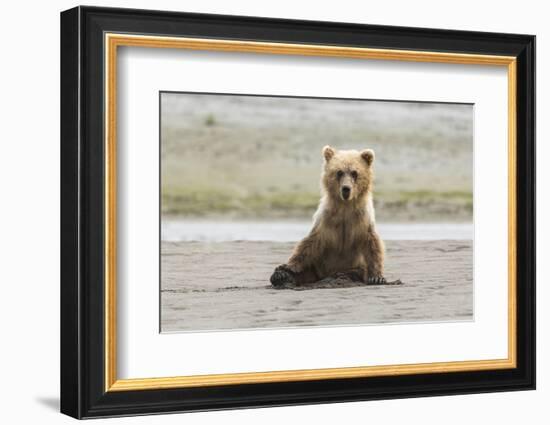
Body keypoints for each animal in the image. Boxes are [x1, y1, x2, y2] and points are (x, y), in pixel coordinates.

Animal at [270, 146, 386, 288]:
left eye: (354, 172)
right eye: (339, 172)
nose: (346, 189)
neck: (345, 206)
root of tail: (324, 276)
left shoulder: (362, 219)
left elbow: (372, 244)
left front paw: (377, 277)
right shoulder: (327, 218)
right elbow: (310, 243)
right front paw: (288, 266)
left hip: (354, 267)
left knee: (355, 272)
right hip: (316, 268)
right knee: (305, 271)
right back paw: (281, 275)